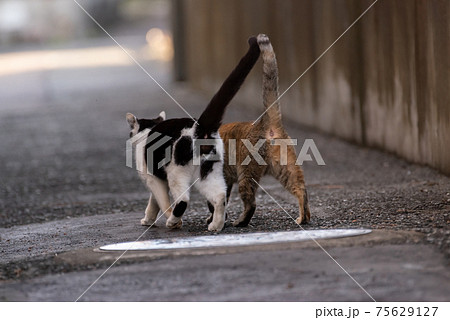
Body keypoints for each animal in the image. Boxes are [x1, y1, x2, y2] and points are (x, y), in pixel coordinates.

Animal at [126, 37, 260, 232]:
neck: (147, 131)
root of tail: (199, 127)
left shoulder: (153, 178)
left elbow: (161, 201)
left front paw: (170, 219)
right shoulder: (159, 179)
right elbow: (154, 202)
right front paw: (148, 219)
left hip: (177, 173)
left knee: (183, 200)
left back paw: (173, 221)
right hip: (208, 172)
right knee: (220, 196)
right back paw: (216, 225)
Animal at [207, 33, 310, 226]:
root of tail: (264, 122)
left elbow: (215, 201)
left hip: (246, 173)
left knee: (251, 202)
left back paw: (241, 221)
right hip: (284, 167)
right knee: (301, 189)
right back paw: (303, 217)